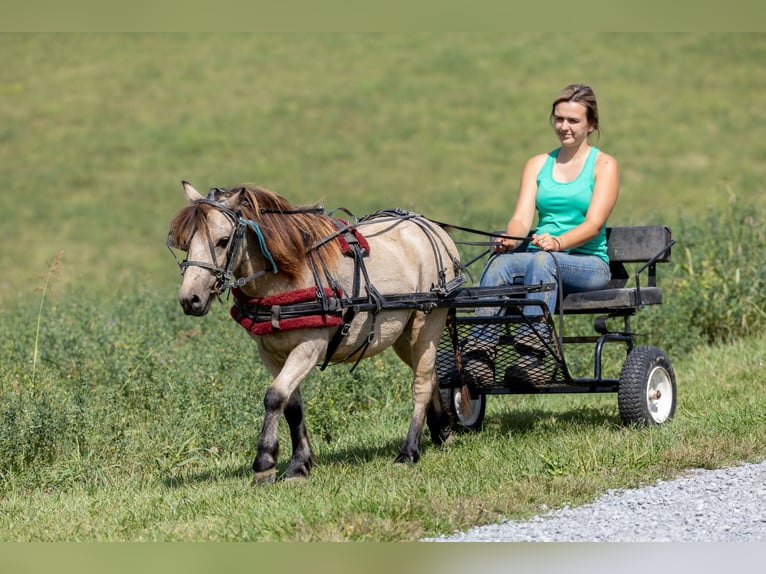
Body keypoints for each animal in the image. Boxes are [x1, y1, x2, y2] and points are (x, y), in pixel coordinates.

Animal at [167, 181, 465, 484]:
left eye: (223, 240)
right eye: (186, 243)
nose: (190, 299)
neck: (287, 276)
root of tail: (432, 226)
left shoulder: (310, 346)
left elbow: (274, 396)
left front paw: (265, 463)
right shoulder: (270, 352)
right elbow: (291, 405)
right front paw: (300, 463)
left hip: (427, 323)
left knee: (421, 384)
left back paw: (409, 451)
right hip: (402, 336)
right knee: (430, 375)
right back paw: (442, 432)